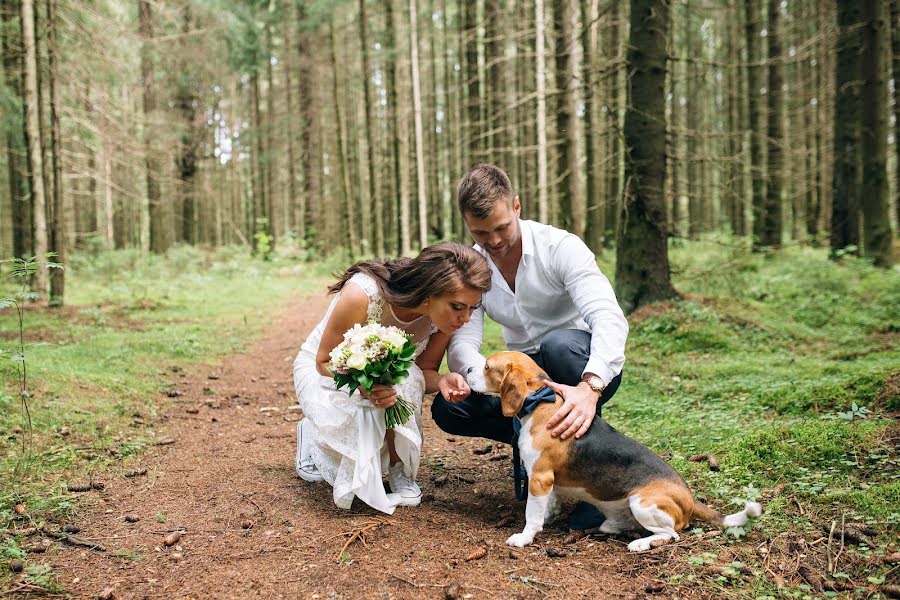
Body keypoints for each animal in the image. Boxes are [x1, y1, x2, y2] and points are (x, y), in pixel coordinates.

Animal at [468, 352, 764, 552]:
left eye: (487, 367)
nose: (468, 367)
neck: (541, 402)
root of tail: (690, 499)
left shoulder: (540, 477)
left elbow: (532, 513)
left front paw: (525, 536)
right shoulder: (547, 481)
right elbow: (549, 505)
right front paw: (548, 520)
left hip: (642, 503)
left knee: (673, 534)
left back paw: (642, 544)